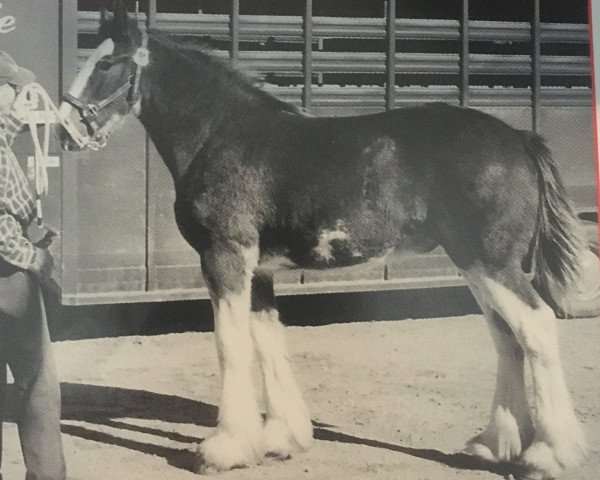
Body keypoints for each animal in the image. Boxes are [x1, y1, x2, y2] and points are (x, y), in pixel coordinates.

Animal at [59, 2, 584, 476]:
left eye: (105, 63)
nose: (65, 132)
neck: (220, 136)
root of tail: (520, 140)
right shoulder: (259, 269)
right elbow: (267, 340)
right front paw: (281, 439)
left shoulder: (224, 256)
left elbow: (231, 344)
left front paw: (226, 449)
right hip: (475, 265)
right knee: (505, 336)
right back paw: (493, 445)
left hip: (492, 263)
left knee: (535, 326)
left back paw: (549, 455)